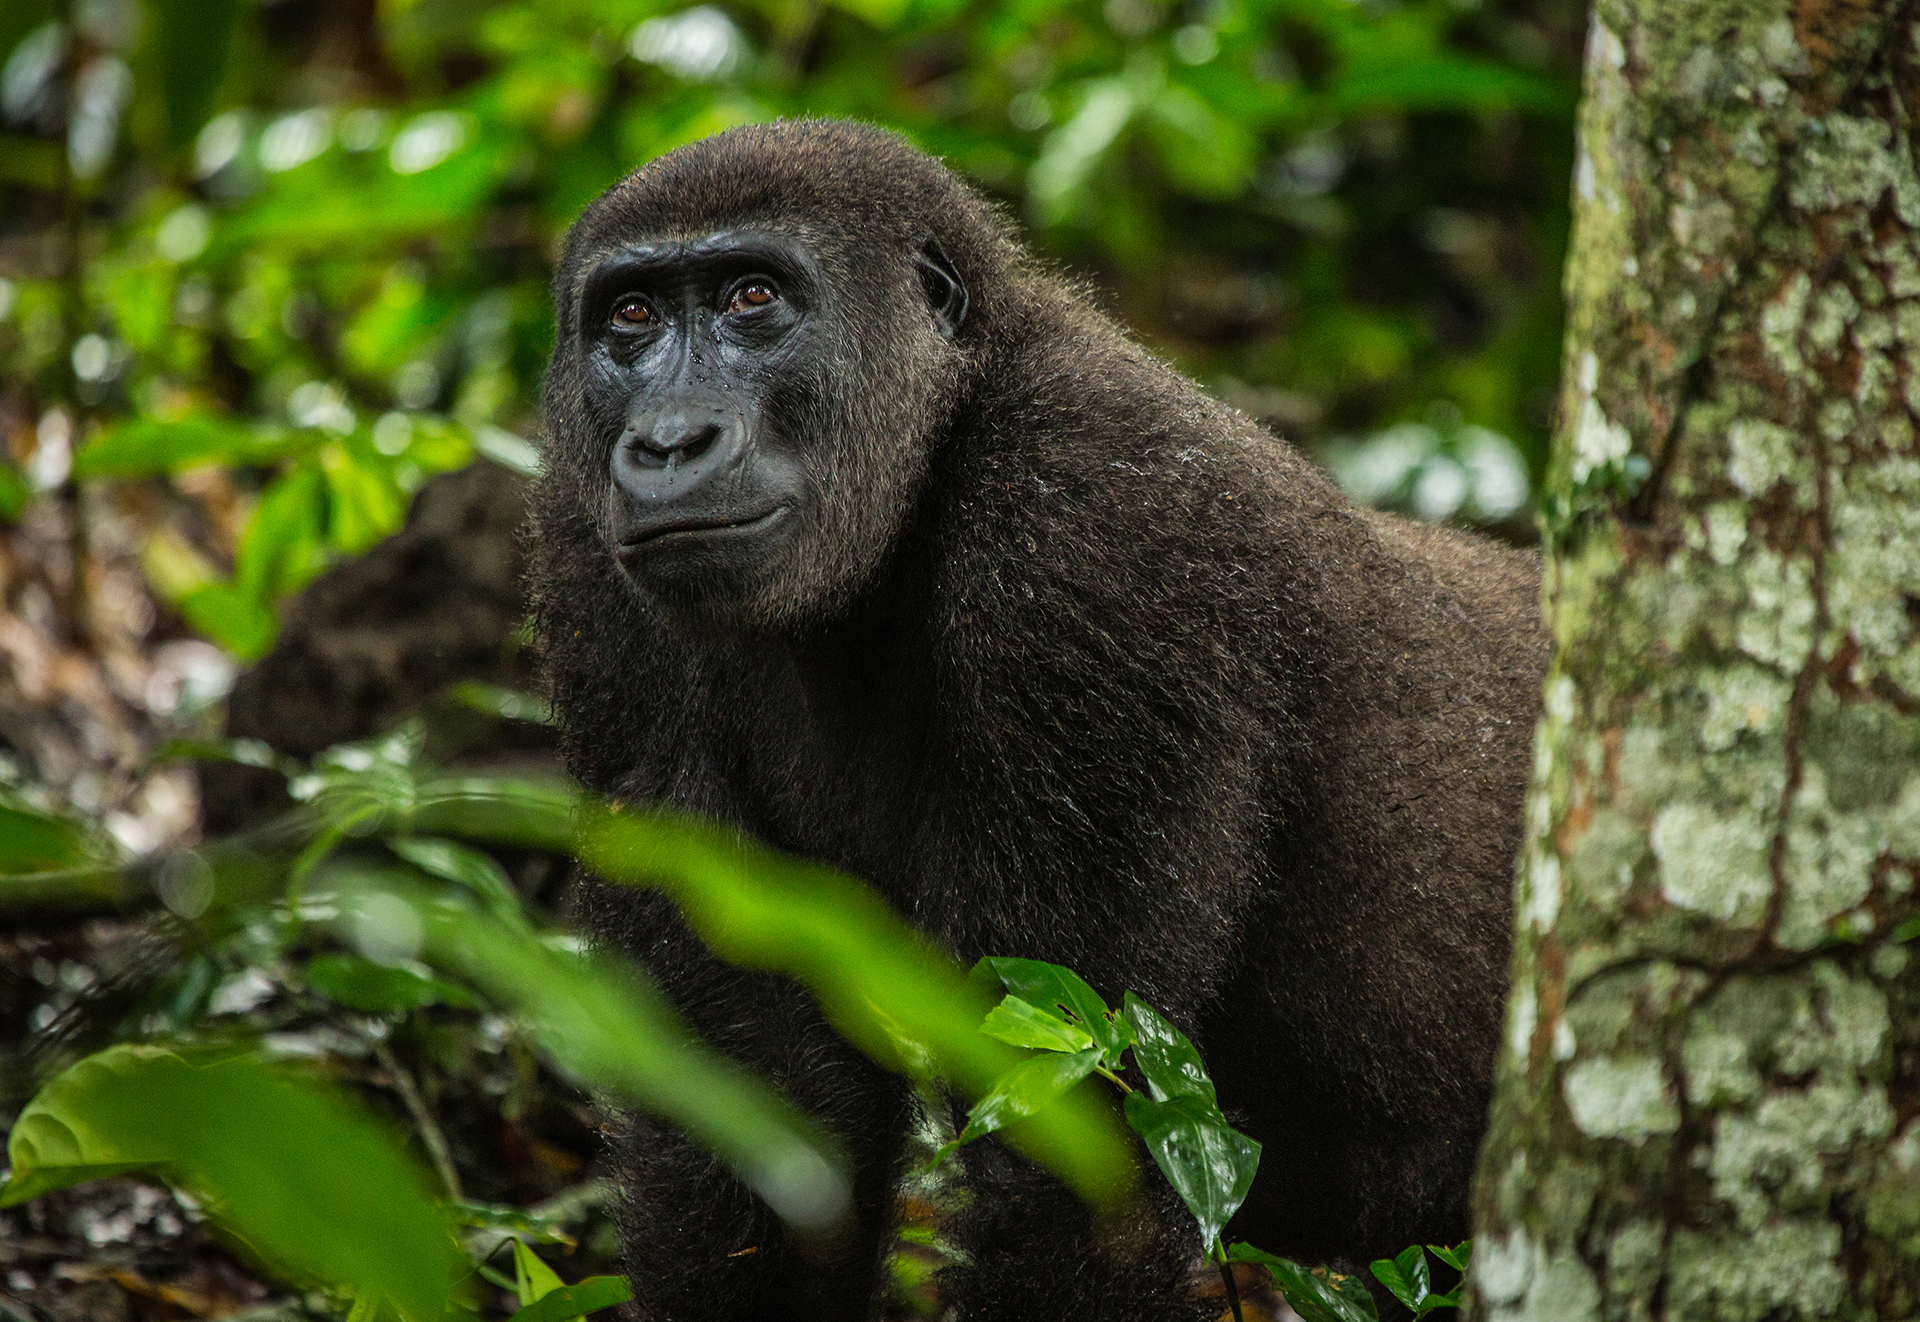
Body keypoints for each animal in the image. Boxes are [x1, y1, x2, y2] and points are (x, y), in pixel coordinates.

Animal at [531, 117, 1548, 1321]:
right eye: (632, 318)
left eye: (752, 297)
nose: (671, 441)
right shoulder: (585, 552)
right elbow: (753, 1102)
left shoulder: (1092, 533)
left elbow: (1072, 1160)